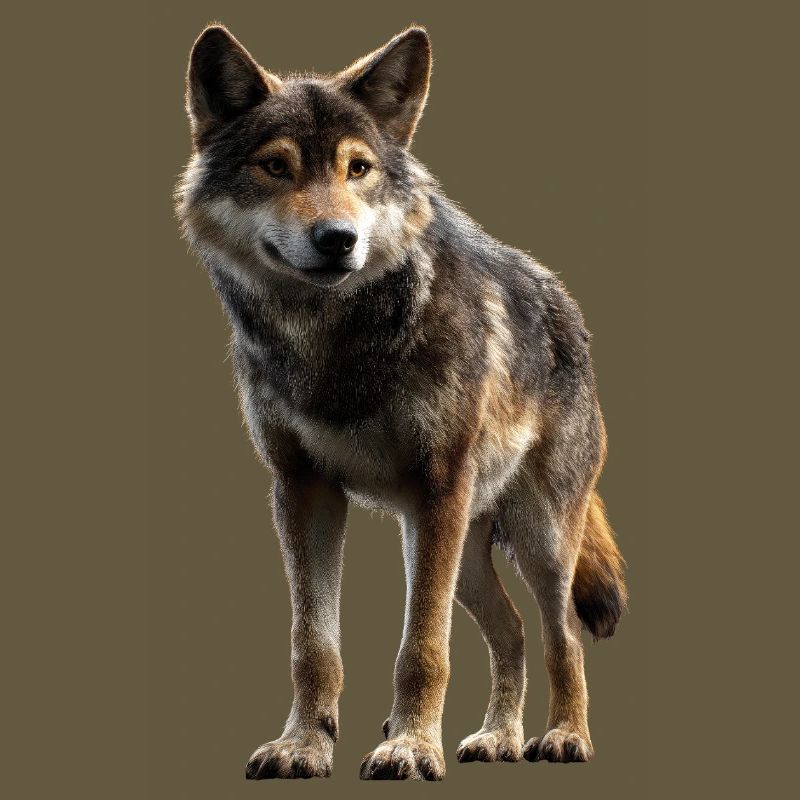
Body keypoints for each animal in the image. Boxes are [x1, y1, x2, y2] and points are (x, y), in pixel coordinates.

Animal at [177, 23, 626, 781]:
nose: (339, 239)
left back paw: (564, 737)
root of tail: (565, 303)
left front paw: (410, 747)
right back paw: (498, 738)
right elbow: (313, 646)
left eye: (358, 169)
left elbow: (422, 648)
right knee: (511, 634)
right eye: (276, 168)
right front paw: (304, 745)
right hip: (460, 550)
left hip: (530, 538)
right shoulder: (303, 489)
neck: (334, 341)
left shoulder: (437, 486)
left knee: (560, 634)